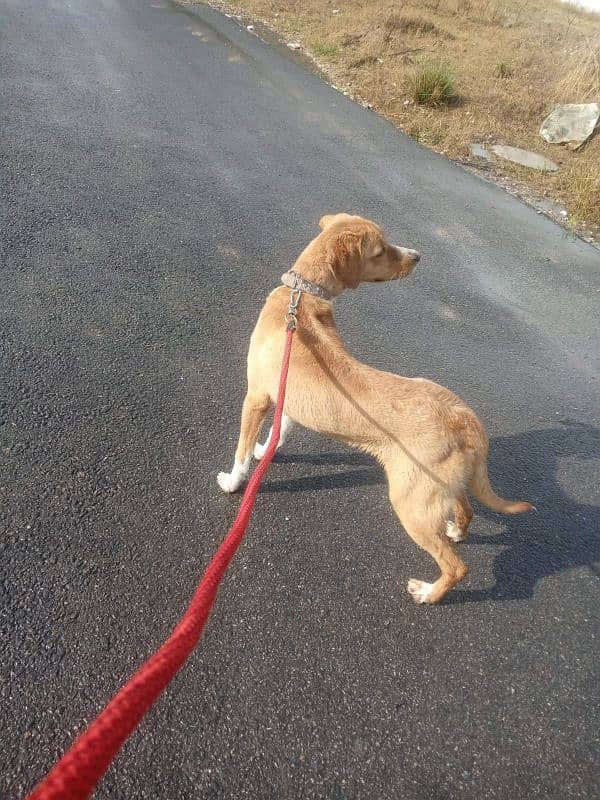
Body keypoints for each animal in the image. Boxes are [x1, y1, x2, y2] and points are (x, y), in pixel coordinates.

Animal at [217, 216, 536, 604]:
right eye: (381, 250)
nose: (418, 256)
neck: (302, 297)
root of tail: (466, 419)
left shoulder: (257, 398)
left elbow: (241, 453)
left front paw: (233, 482)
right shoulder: (288, 397)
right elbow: (281, 431)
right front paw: (267, 449)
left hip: (411, 504)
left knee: (456, 566)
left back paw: (428, 593)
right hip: (440, 486)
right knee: (467, 510)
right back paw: (457, 532)